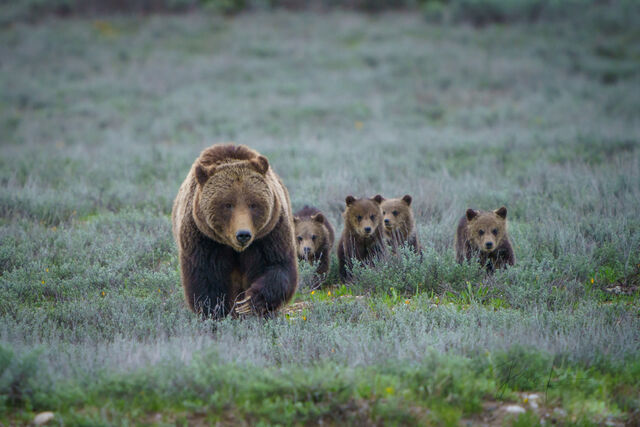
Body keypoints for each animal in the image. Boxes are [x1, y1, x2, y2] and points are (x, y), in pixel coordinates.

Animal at [171, 144, 298, 318]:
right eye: (227, 204)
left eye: (253, 204)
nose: (243, 234)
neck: (235, 249)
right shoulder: (204, 239)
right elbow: (206, 279)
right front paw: (217, 312)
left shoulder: (269, 234)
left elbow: (277, 266)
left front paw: (249, 304)